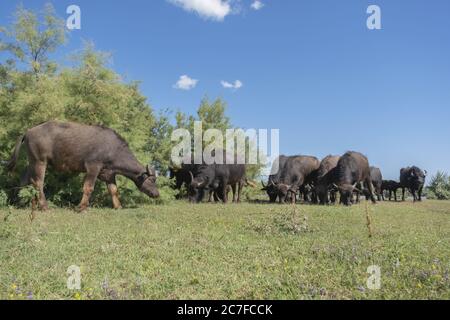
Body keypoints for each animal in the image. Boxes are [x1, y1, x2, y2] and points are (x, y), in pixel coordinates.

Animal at [6, 121, 160, 211]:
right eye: (152, 180)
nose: (157, 194)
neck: (114, 149)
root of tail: (29, 131)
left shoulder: (108, 174)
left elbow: (113, 190)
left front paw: (118, 206)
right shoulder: (93, 166)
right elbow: (88, 187)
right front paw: (81, 207)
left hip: (32, 162)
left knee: (26, 180)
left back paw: (27, 205)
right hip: (40, 161)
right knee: (38, 182)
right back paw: (44, 207)